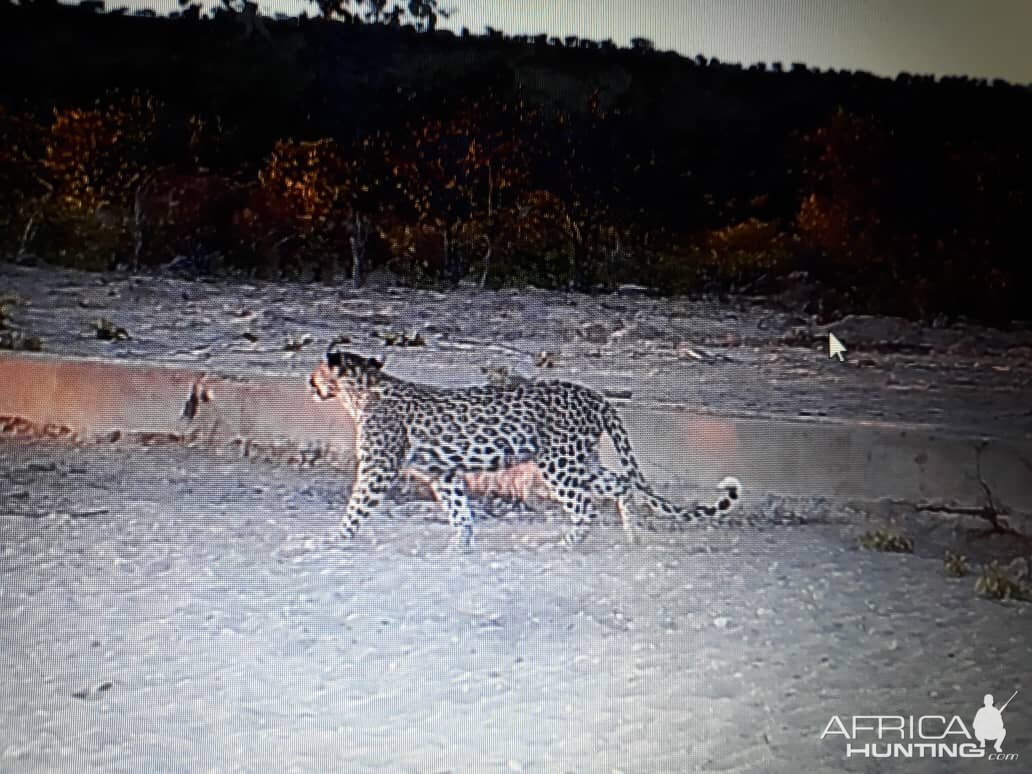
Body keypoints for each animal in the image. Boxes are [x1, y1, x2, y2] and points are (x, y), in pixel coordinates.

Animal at [307, 348, 743, 549]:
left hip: (559, 464)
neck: (360, 393)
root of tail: (597, 397)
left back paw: (561, 544)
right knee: (621, 482)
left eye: (315, 372)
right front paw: (460, 546)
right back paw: (632, 537)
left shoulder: (378, 469)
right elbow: (459, 512)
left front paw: (336, 540)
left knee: (586, 507)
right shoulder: (444, 473)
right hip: (580, 460)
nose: (309, 383)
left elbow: (356, 507)